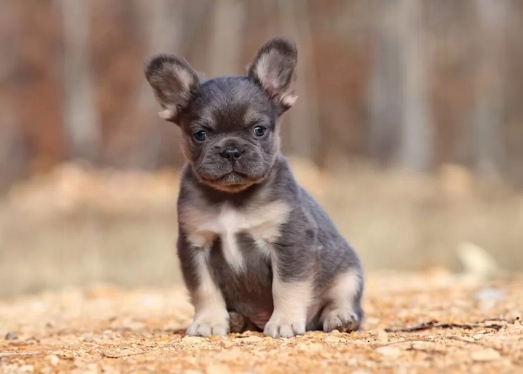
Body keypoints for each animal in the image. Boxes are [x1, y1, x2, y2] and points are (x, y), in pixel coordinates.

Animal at [143, 36, 364, 338]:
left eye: (259, 130)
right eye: (200, 135)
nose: (231, 150)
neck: (232, 198)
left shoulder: (289, 241)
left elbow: (286, 286)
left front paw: (284, 321)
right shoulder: (195, 245)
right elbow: (204, 290)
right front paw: (208, 321)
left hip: (348, 274)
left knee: (344, 303)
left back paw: (340, 317)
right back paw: (236, 320)